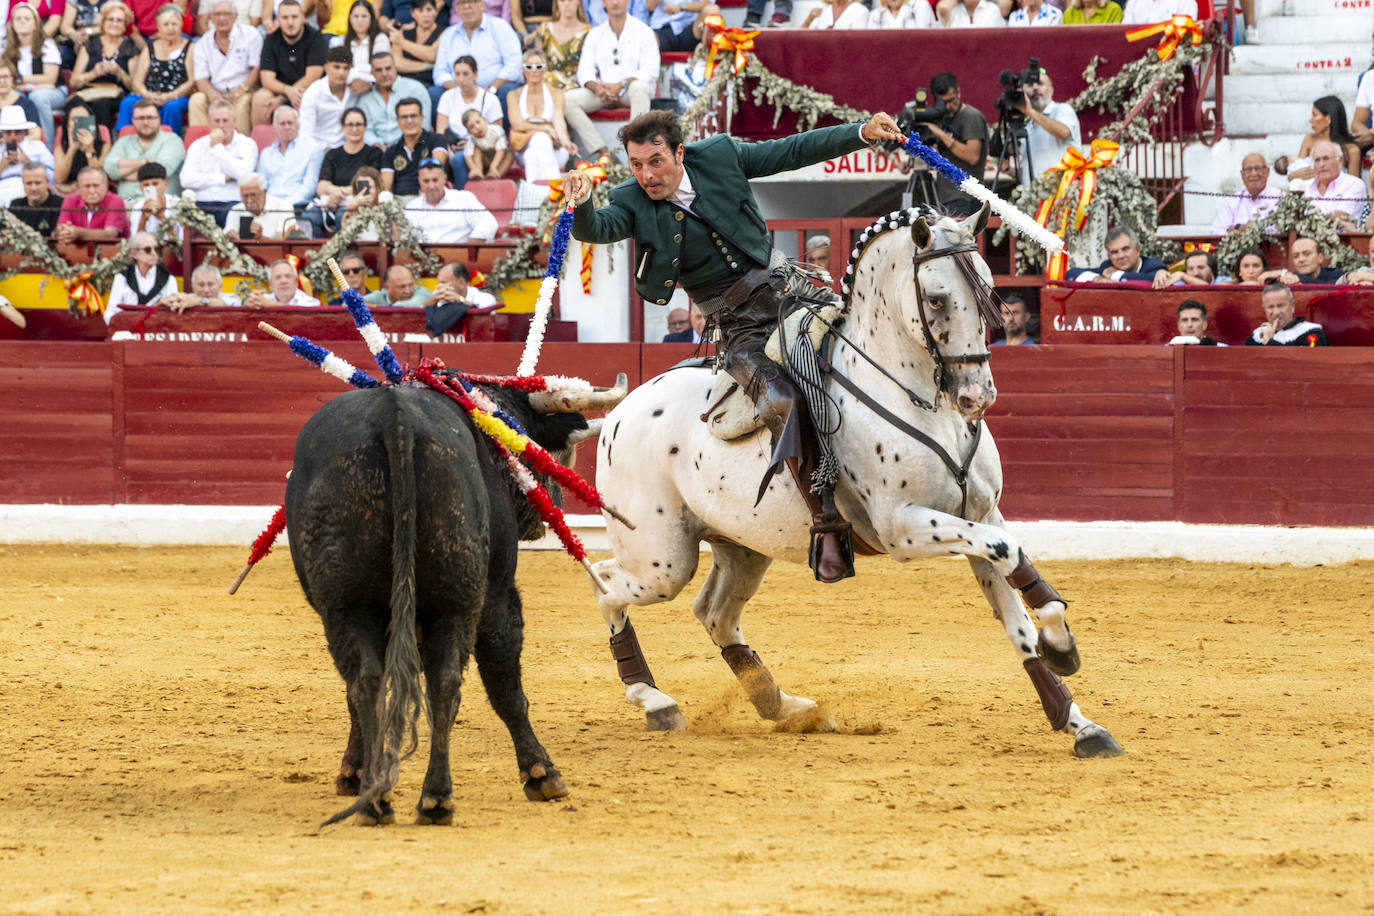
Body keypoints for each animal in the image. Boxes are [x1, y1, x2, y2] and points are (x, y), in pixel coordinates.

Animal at [287, 384, 588, 829]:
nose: (553, 502)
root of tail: (394, 416)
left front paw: (354, 774)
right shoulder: (497, 593)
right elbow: (506, 684)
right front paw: (541, 774)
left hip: (350, 605)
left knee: (372, 682)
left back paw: (389, 801)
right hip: (457, 598)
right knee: (450, 681)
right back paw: (430, 797)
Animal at [585, 205, 1121, 758]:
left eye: (991, 289)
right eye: (937, 298)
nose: (977, 396)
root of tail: (618, 414)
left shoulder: (980, 513)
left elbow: (1015, 609)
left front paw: (1076, 710)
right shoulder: (902, 528)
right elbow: (1007, 551)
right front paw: (1062, 649)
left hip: (740, 548)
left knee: (713, 613)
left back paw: (784, 706)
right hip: (662, 562)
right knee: (606, 584)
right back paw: (655, 700)